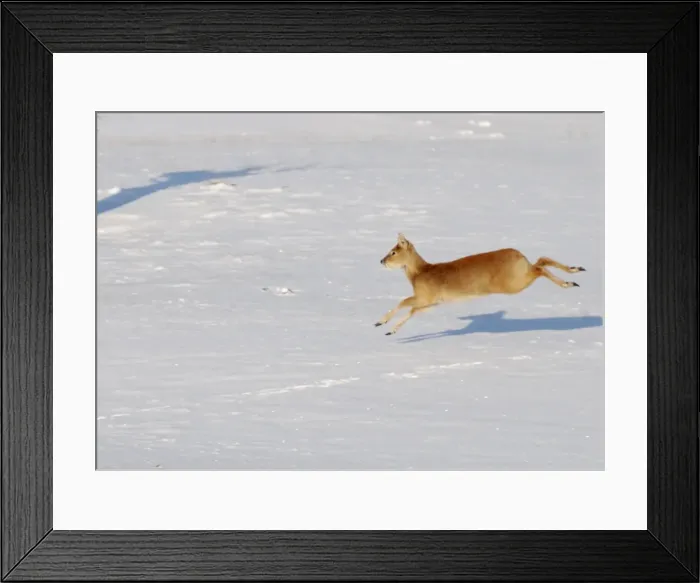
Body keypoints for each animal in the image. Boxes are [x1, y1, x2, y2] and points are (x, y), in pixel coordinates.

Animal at [376, 233, 585, 336]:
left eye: (393, 252)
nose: (381, 261)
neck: (419, 273)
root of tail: (519, 255)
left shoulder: (427, 297)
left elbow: (407, 306)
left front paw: (387, 327)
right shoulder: (431, 301)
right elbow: (408, 306)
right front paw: (383, 325)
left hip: (513, 283)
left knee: (540, 267)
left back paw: (569, 281)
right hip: (519, 276)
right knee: (542, 260)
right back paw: (575, 272)